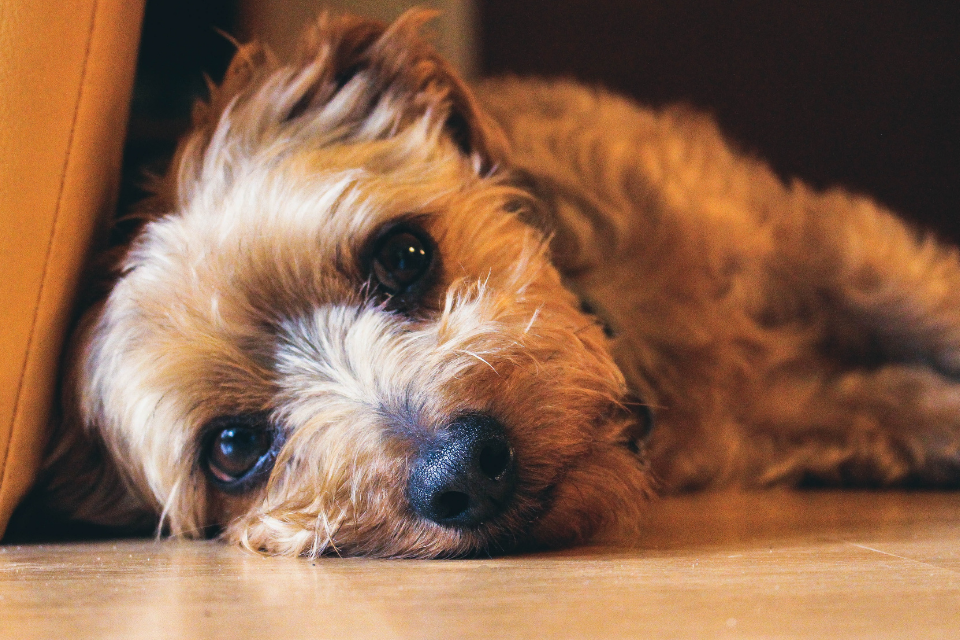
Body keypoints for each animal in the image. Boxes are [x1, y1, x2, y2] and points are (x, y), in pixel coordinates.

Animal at [26, 11, 960, 560]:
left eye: (404, 254)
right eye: (231, 449)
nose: (464, 473)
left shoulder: (818, 241)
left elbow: (918, 299)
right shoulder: (804, 410)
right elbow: (907, 406)